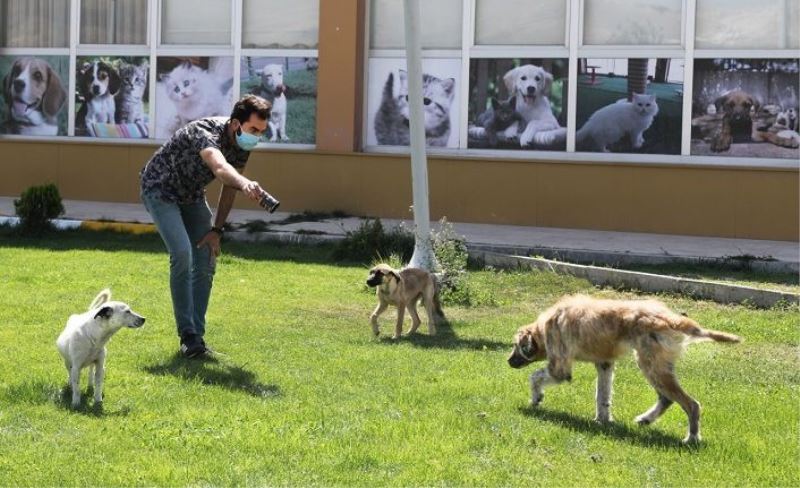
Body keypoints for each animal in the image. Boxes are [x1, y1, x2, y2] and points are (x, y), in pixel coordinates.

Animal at [510, 292, 740, 444]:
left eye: (516, 345)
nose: (508, 362)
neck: (545, 326)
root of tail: (671, 318)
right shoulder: (604, 364)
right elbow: (602, 397)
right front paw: (602, 420)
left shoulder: (560, 368)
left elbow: (535, 377)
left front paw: (536, 398)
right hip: (656, 366)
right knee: (667, 399)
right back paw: (647, 419)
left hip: (650, 365)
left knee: (691, 404)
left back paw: (691, 438)